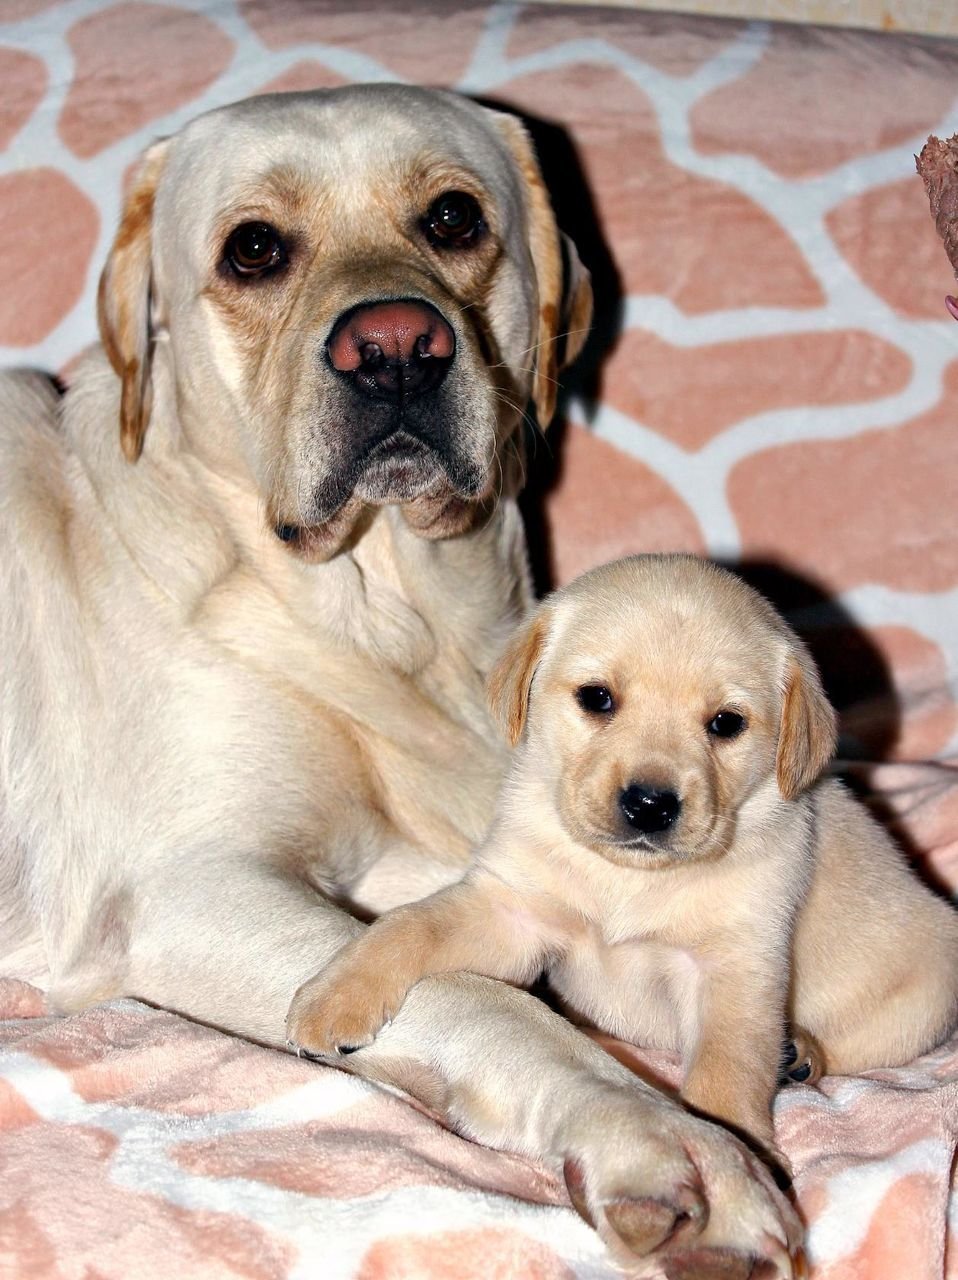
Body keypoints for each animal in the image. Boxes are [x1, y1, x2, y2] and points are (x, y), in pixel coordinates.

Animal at [0, 85, 799, 1274]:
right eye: (252, 248)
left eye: (454, 218)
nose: (394, 350)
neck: (390, 618)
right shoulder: (183, 887)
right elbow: (475, 994)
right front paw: (661, 1136)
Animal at [292, 555, 957, 1157]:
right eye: (598, 698)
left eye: (726, 723)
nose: (650, 805)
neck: (629, 879)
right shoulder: (513, 910)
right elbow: (410, 925)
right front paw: (333, 998)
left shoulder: (735, 966)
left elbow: (728, 1069)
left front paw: (746, 1151)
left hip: (924, 996)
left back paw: (801, 1056)